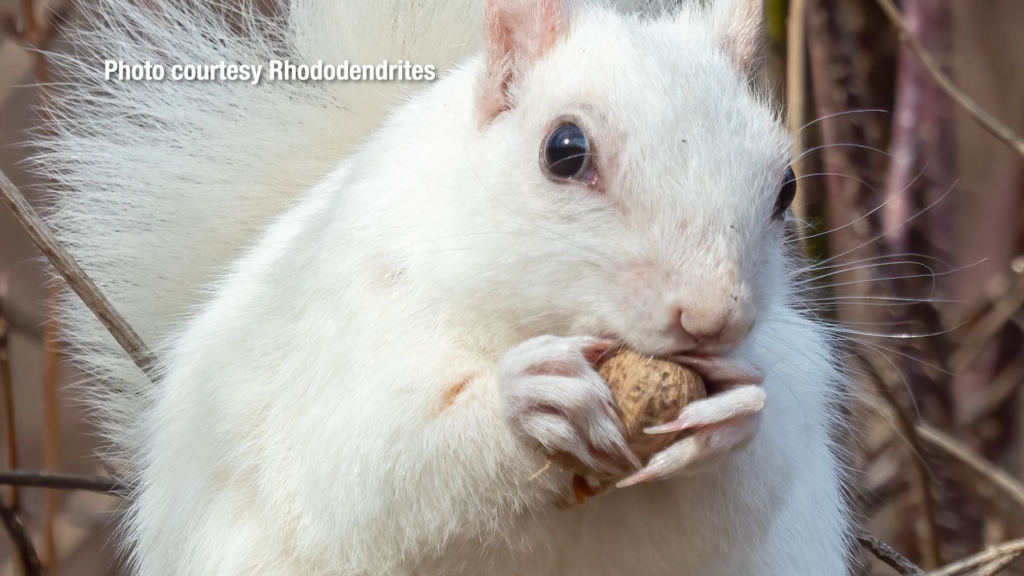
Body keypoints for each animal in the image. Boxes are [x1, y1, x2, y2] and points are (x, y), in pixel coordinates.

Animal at [33, 0, 853, 573]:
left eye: (786, 188)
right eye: (564, 150)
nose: (714, 318)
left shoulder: (794, 375)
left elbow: (735, 500)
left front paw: (731, 414)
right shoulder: (352, 322)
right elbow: (373, 470)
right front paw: (526, 402)